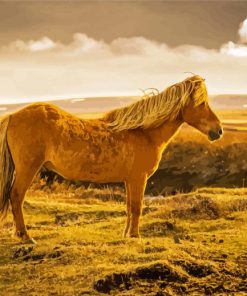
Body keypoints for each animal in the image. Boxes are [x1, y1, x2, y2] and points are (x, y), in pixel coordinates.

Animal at [0, 74, 224, 243]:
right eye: (202, 103)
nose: (219, 131)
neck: (143, 132)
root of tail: (13, 116)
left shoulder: (129, 180)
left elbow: (129, 207)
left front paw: (127, 234)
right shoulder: (138, 178)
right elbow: (136, 207)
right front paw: (134, 236)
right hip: (28, 168)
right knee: (16, 196)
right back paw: (25, 236)